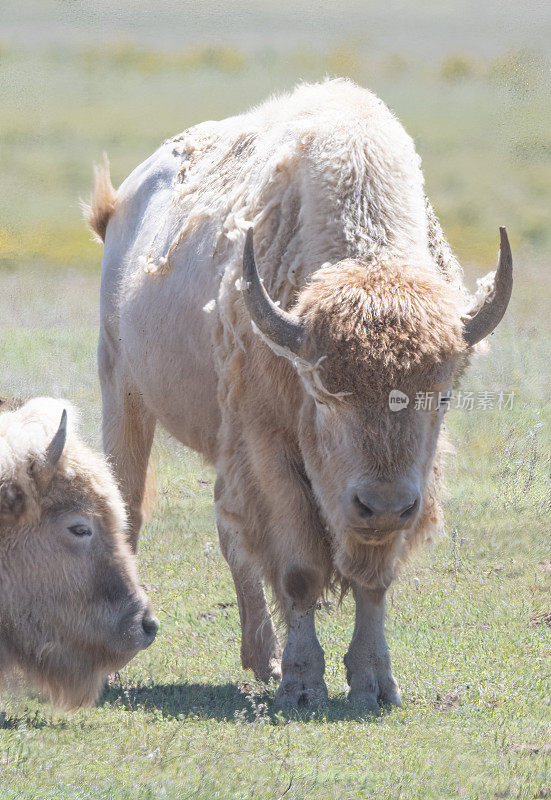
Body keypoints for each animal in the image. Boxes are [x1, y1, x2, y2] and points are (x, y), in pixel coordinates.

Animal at [86, 78, 512, 708]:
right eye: (324, 393)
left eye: (440, 395)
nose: (383, 504)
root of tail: (120, 207)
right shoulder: (269, 446)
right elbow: (298, 570)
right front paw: (304, 684)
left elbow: (372, 579)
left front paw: (374, 682)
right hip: (123, 390)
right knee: (132, 506)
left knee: (231, 529)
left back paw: (260, 658)